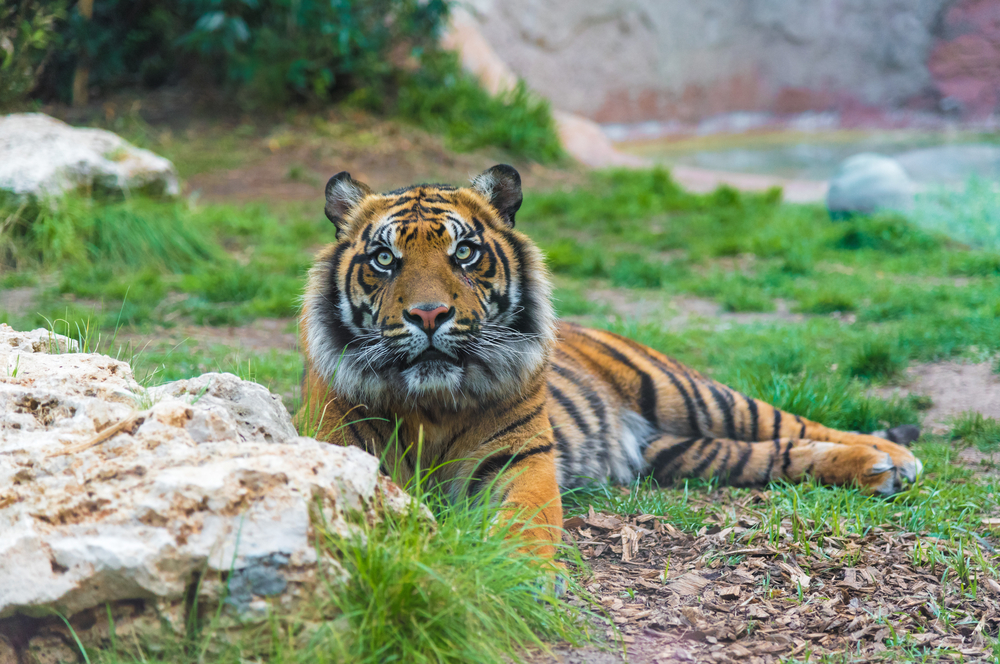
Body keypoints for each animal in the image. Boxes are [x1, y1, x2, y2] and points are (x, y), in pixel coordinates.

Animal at [296, 165, 920, 556]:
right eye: (384, 258)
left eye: (465, 253)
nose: (428, 315)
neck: (432, 405)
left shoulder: (519, 460)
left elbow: (526, 520)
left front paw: (519, 570)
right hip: (682, 452)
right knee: (774, 453)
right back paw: (875, 468)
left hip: (691, 394)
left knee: (794, 421)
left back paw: (893, 456)